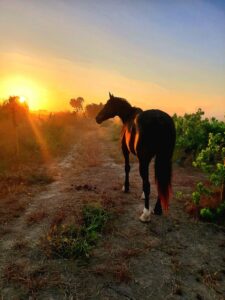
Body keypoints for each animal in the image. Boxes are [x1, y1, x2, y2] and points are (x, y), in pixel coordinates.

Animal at [95, 92, 176, 221]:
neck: (128, 117)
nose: (97, 118)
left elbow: (127, 168)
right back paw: (157, 209)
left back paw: (145, 213)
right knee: (160, 181)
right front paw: (143, 195)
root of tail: (161, 121)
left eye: (107, 105)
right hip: (163, 158)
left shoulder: (126, 151)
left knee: (148, 184)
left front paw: (126, 187)